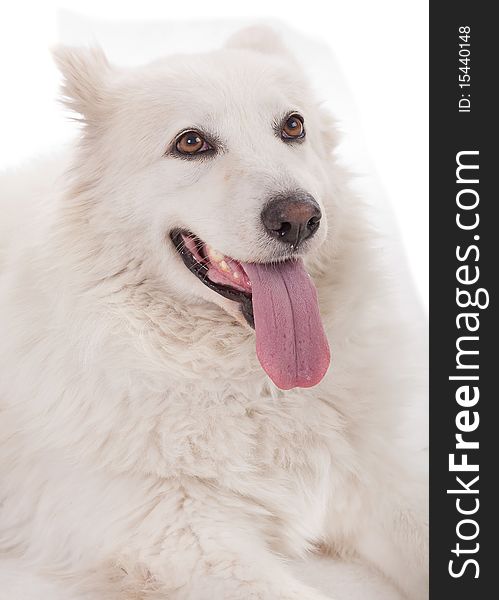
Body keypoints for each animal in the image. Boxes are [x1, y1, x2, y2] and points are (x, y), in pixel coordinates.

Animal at [0, 27, 430, 600]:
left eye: (293, 126)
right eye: (190, 143)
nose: (299, 219)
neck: (253, 384)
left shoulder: (378, 478)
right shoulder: (184, 539)